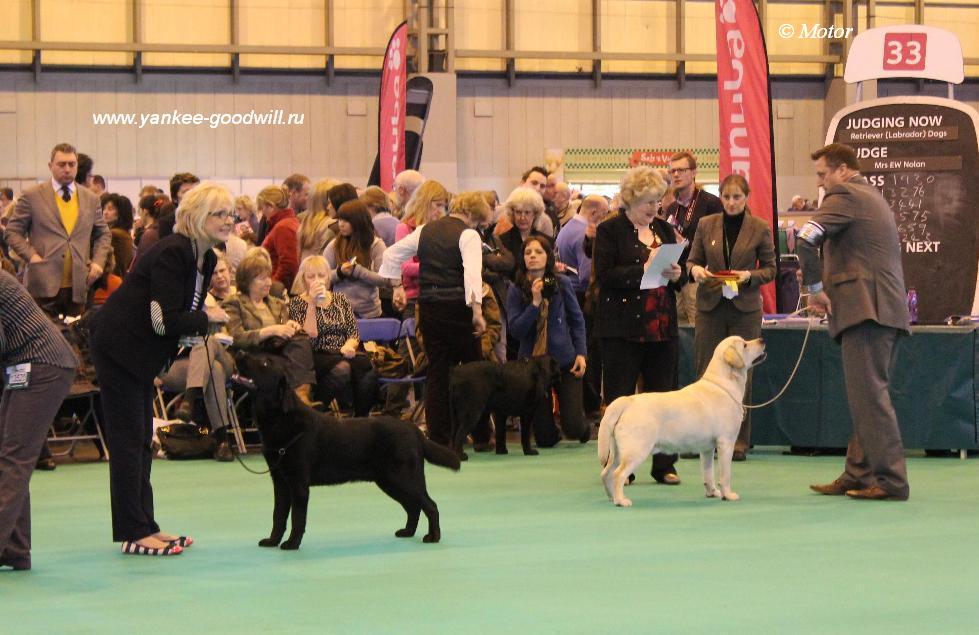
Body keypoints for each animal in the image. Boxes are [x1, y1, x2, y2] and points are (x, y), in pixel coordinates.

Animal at [236, 356, 460, 548]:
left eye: (265, 363)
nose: (239, 353)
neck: (281, 420)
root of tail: (415, 430)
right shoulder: (280, 481)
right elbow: (278, 515)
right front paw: (272, 541)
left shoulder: (298, 482)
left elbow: (297, 517)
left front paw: (292, 544)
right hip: (390, 481)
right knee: (414, 506)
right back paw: (407, 532)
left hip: (404, 478)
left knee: (430, 505)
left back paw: (433, 536)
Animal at [596, 338, 764, 506]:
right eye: (745, 345)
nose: (761, 340)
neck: (724, 386)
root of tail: (627, 401)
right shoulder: (726, 442)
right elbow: (725, 475)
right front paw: (728, 495)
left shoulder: (707, 449)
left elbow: (708, 473)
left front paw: (712, 492)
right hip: (636, 450)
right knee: (618, 474)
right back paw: (621, 500)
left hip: (618, 451)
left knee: (606, 472)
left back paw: (612, 497)